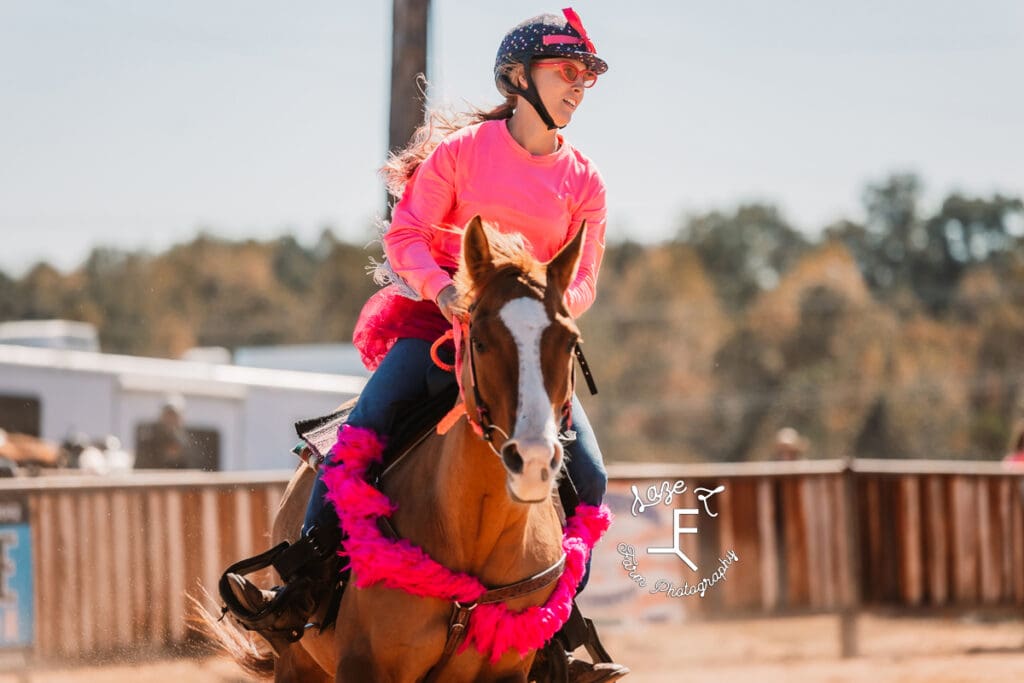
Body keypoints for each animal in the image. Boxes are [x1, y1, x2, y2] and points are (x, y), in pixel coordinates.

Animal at [201, 216, 593, 679]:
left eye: (569, 341)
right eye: (479, 340)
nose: (531, 458)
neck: (473, 531)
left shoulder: (506, 671)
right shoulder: (365, 664)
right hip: (298, 663)